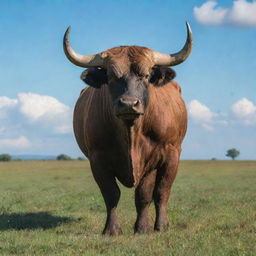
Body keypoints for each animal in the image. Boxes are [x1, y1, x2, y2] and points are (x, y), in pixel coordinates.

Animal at [63, 23, 192, 235]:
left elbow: (152, 192)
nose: (129, 104)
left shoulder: (163, 156)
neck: (131, 133)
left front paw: (150, 227)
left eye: (146, 75)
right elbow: (111, 194)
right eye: (110, 76)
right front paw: (112, 229)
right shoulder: (97, 159)